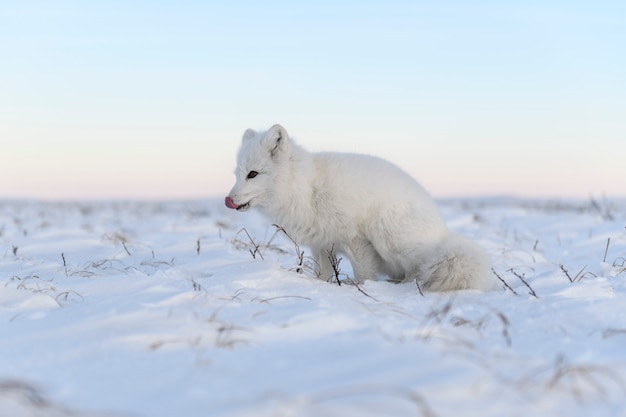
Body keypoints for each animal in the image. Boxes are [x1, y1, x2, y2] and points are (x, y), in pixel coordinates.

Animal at [224, 125, 492, 290]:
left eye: (253, 174)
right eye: (236, 174)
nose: (229, 199)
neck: (307, 189)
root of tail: (443, 231)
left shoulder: (356, 241)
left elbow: (364, 275)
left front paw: (362, 289)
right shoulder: (321, 244)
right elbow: (323, 274)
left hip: (388, 236)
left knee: (417, 270)